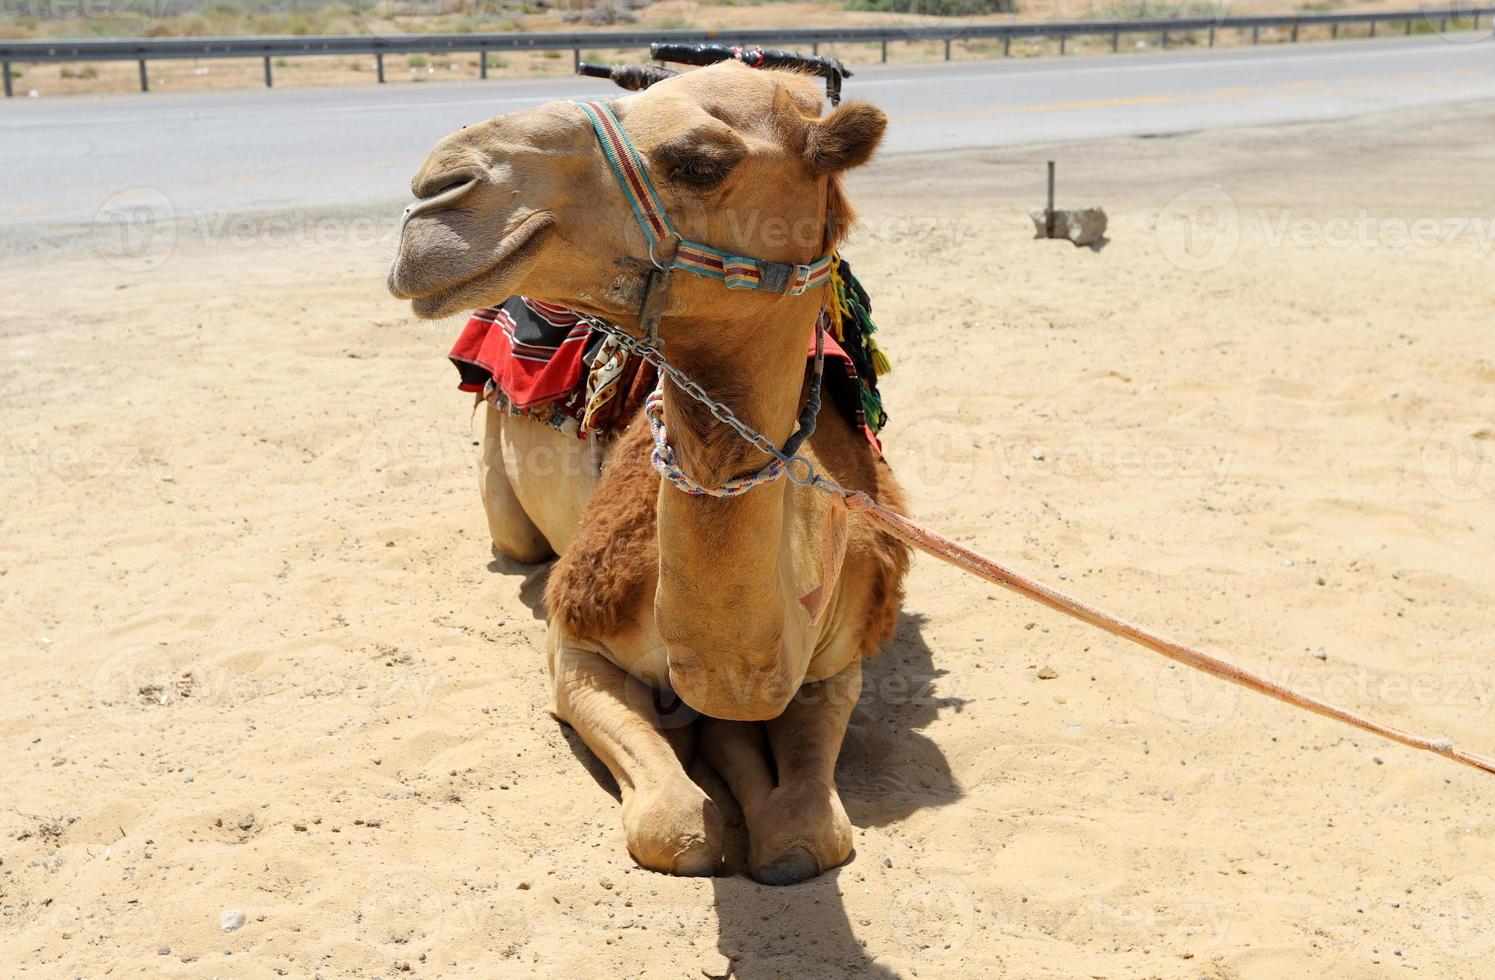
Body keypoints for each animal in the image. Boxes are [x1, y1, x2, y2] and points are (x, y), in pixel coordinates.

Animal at [388, 63, 908, 890]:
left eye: (699, 160)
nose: (437, 189)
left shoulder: (841, 660)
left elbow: (808, 835)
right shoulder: (574, 646)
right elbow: (677, 826)